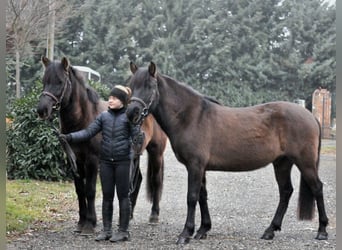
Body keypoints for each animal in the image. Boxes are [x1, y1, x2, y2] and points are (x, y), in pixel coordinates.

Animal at [36, 57, 167, 235]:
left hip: (155, 152)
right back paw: (129, 215)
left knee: (156, 180)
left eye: (60, 82)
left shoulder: (92, 160)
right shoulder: (75, 160)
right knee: (137, 179)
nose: (42, 110)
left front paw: (90, 224)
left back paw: (154, 215)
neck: (84, 119)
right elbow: (80, 190)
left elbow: (90, 190)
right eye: (44, 81)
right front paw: (81, 222)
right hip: (134, 154)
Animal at [125, 62, 328, 244]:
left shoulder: (195, 166)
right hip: (282, 163)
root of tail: (310, 116)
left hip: (305, 162)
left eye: (149, 86)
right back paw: (270, 230)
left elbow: (192, 197)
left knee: (317, 188)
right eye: (131, 86)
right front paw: (203, 230)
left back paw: (322, 231)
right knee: (286, 191)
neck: (190, 117)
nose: (131, 112)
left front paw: (186, 234)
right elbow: (202, 196)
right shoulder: (200, 167)